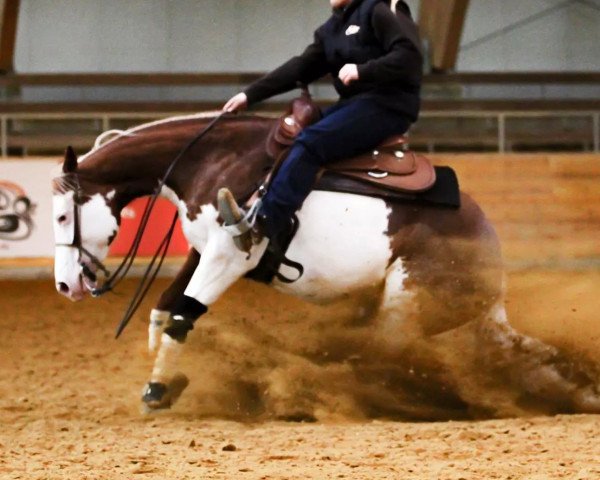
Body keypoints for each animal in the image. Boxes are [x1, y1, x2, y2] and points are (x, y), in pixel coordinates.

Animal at [50, 110, 600, 418]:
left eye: (60, 215)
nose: (64, 286)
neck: (214, 158)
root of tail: (490, 250)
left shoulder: (229, 256)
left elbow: (183, 315)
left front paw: (158, 389)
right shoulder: (203, 250)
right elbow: (165, 308)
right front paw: (164, 378)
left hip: (407, 303)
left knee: (392, 356)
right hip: (470, 317)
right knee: (523, 352)